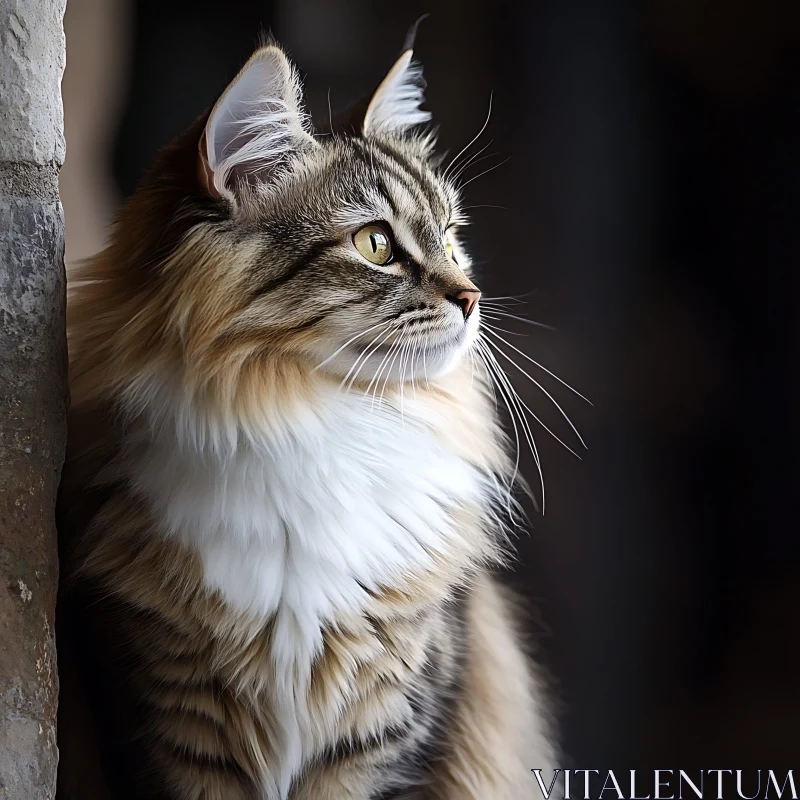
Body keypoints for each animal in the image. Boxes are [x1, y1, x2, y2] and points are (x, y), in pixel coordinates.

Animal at [54, 26, 556, 800]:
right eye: (376, 245)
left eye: (450, 238)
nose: (472, 297)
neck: (318, 422)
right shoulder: (166, 718)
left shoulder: (391, 725)